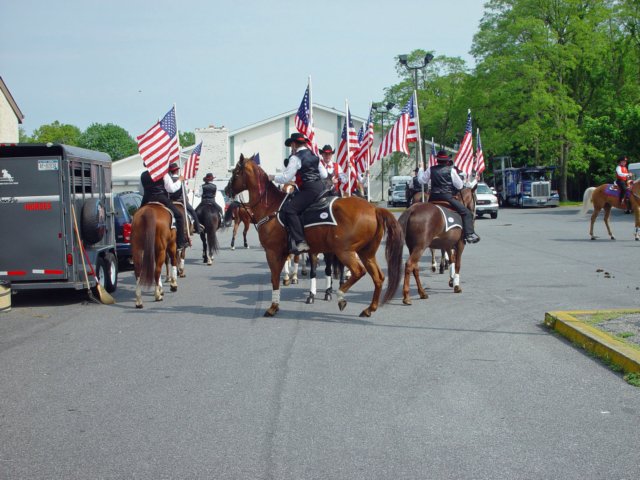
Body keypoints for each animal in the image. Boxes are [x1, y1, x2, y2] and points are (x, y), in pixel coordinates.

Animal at [226, 155, 404, 318]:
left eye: (235, 173)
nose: (227, 190)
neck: (271, 207)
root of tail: (374, 209)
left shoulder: (272, 252)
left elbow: (274, 278)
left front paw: (273, 307)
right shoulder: (289, 252)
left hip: (344, 251)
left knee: (358, 272)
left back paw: (341, 296)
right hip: (366, 252)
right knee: (378, 278)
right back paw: (369, 309)